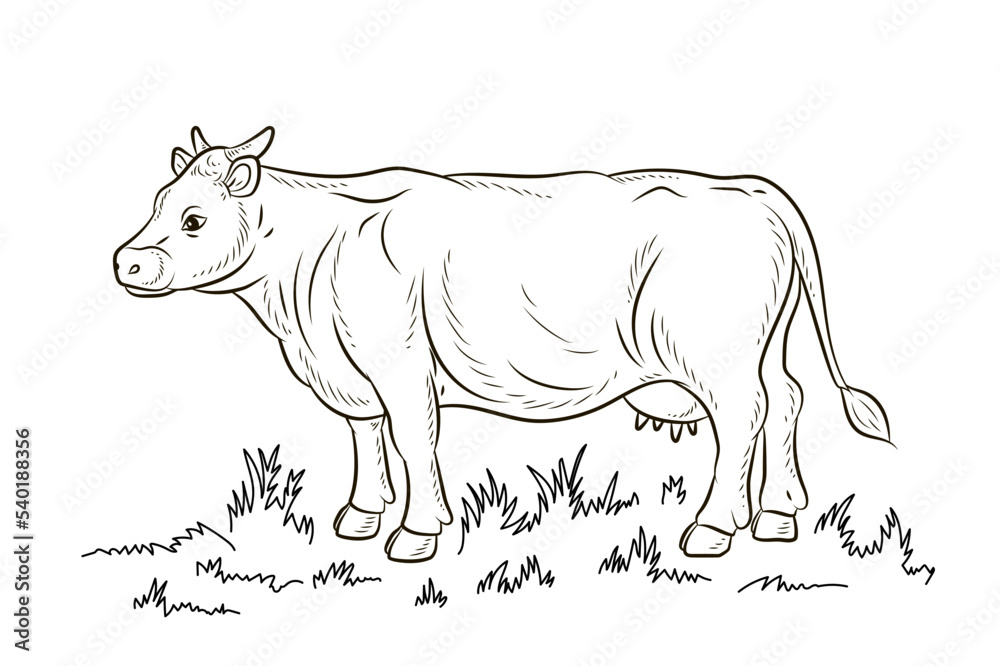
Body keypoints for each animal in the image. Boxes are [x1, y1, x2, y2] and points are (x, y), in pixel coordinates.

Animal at [113, 126, 891, 562]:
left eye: (192, 218)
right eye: (155, 204)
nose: (127, 264)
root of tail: (749, 189)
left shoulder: (399, 364)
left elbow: (413, 439)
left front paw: (417, 534)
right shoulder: (350, 373)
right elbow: (367, 438)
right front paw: (360, 518)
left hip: (710, 353)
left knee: (744, 418)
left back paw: (714, 528)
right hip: (764, 344)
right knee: (786, 401)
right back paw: (780, 516)